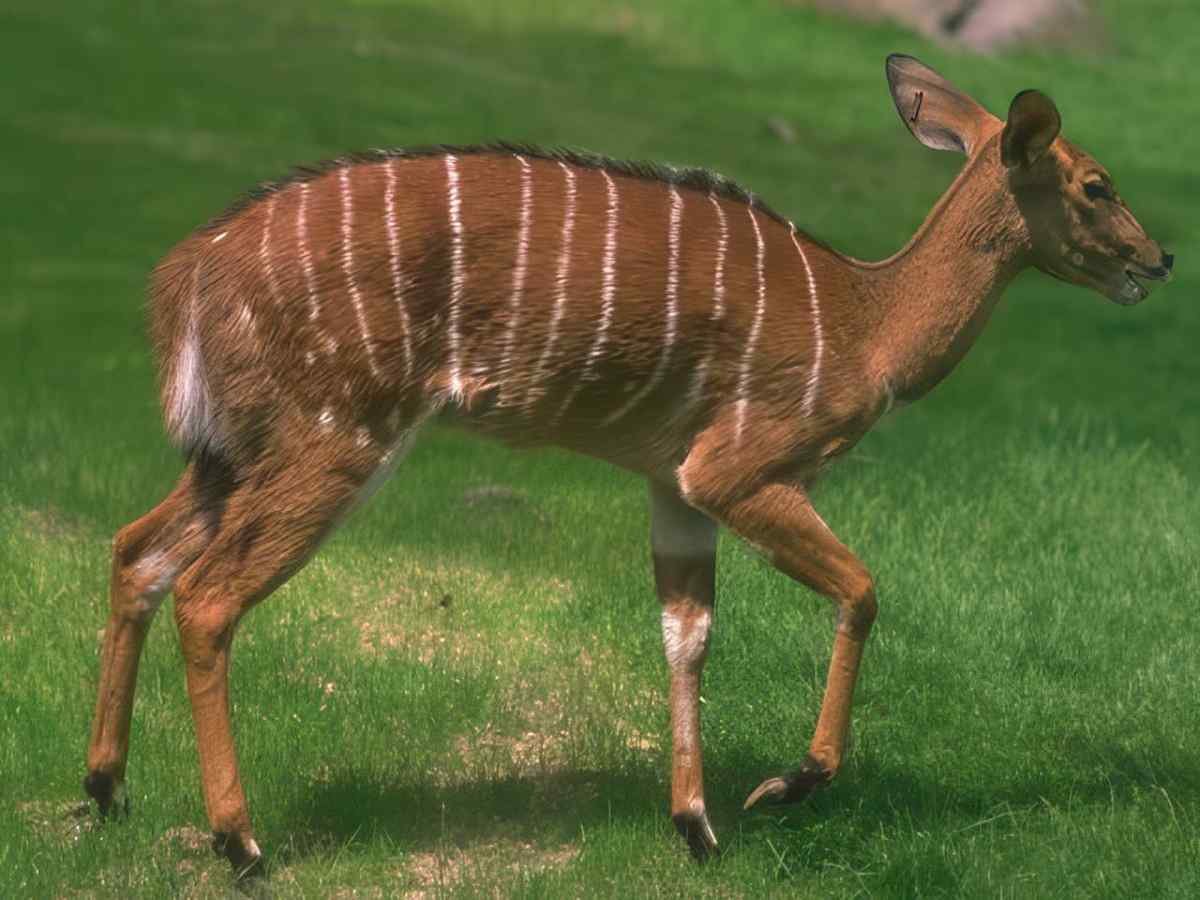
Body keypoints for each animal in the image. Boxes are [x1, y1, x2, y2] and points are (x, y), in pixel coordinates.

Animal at [84, 54, 1172, 875]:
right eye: (1096, 183)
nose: (1157, 261)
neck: (867, 329)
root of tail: (185, 273)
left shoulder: (669, 479)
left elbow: (686, 633)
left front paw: (696, 827)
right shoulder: (738, 467)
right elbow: (861, 589)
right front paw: (786, 785)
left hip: (234, 445)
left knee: (138, 549)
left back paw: (104, 789)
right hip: (335, 430)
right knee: (209, 593)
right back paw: (240, 843)